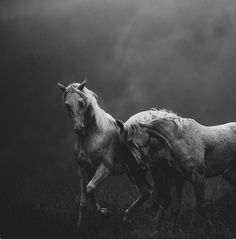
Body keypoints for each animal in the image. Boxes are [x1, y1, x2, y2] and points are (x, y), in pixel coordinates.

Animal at [57, 81, 153, 228]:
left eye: (81, 102)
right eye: (67, 104)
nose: (79, 129)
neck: (94, 135)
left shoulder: (105, 168)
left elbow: (90, 188)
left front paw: (104, 212)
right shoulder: (83, 170)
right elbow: (84, 200)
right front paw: (79, 226)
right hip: (135, 172)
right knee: (145, 192)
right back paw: (126, 218)